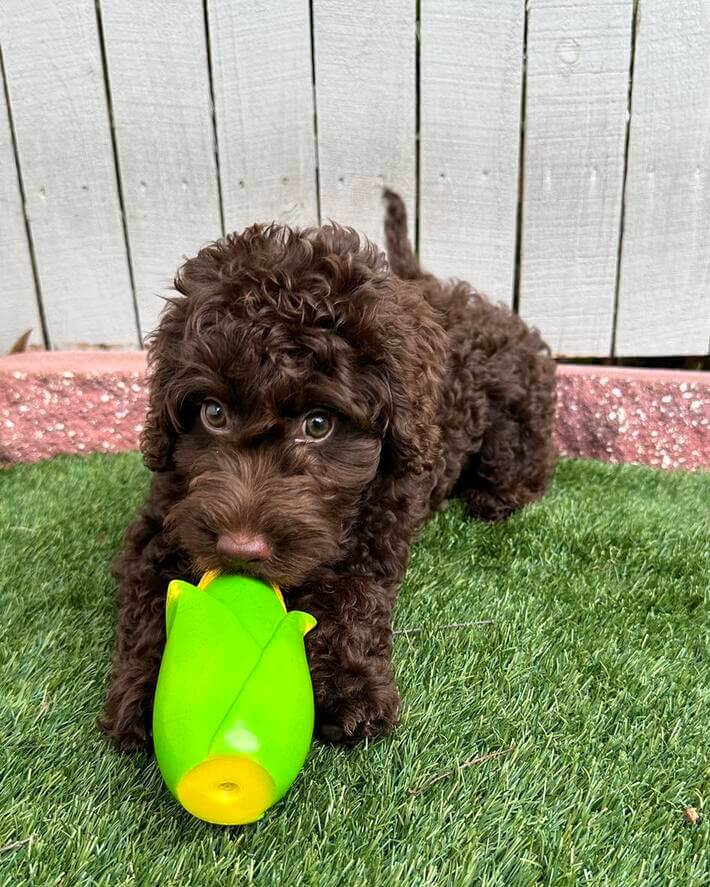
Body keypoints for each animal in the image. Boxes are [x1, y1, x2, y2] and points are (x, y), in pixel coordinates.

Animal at [100, 189, 556, 748]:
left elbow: (350, 597)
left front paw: (347, 689)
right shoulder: (165, 518)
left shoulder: (375, 524)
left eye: (318, 424)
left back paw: (497, 497)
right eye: (213, 413)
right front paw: (149, 695)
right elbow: (147, 602)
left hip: (514, 419)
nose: (240, 550)